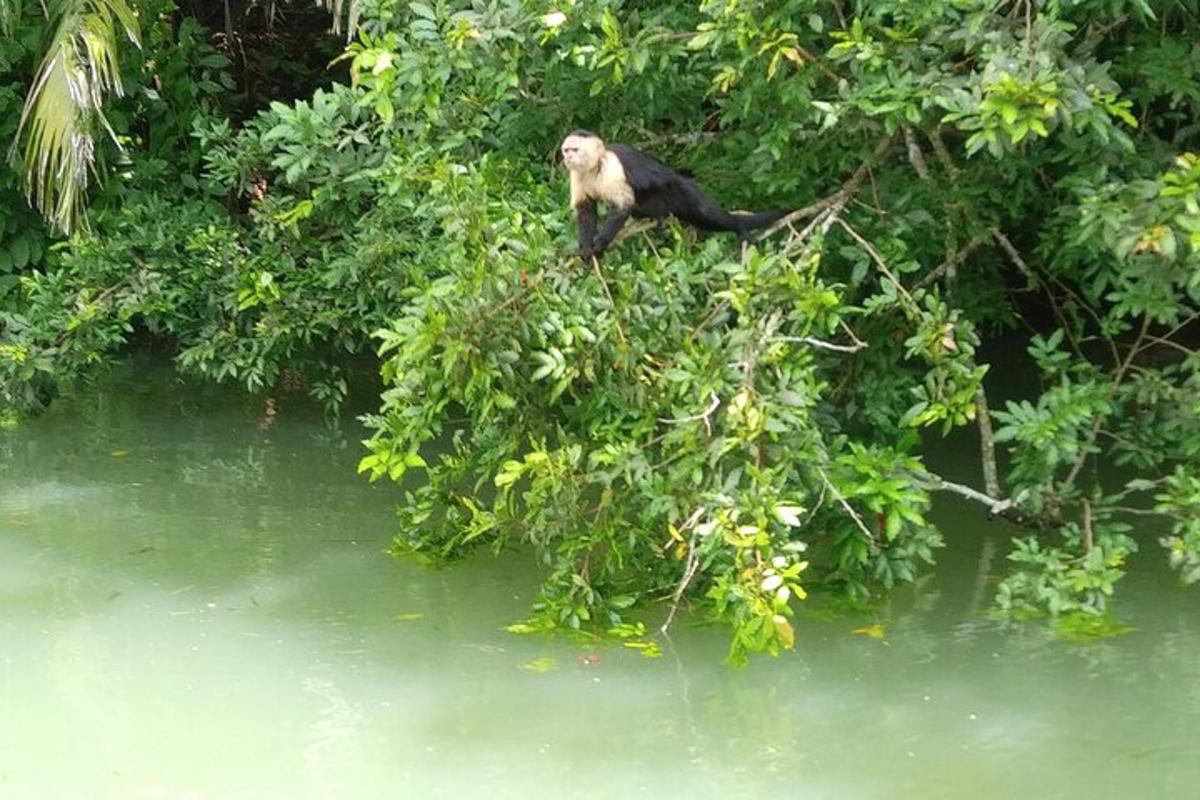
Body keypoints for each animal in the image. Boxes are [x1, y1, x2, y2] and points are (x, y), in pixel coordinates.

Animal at [561, 130, 787, 257]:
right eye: (566, 150)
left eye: (575, 150)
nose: (567, 158)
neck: (594, 166)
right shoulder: (576, 174)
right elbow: (586, 209)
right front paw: (585, 248)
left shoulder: (612, 167)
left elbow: (621, 207)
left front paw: (599, 245)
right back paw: (657, 217)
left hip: (680, 188)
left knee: (707, 213)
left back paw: (739, 226)